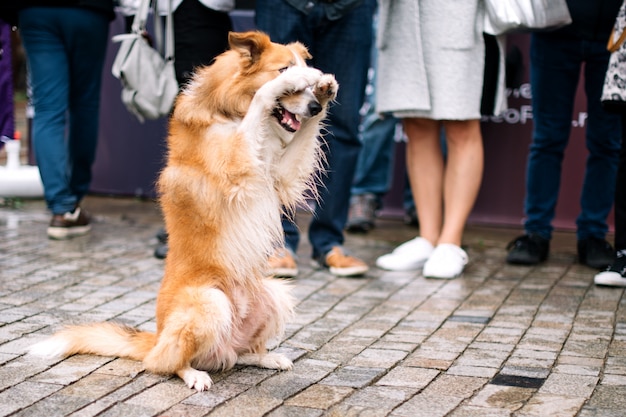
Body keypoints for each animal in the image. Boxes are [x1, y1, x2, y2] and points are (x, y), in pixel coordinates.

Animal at [29, 31, 338, 390]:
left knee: (235, 354)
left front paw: (327, 87)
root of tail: (157, 336)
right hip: (210, 303)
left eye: (313, 92)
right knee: (165, 362)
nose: (315, 105)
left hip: (274, 291)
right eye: (283, 69)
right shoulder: (237, 165)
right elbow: (262, 97)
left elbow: (300, 141)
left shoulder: (279, 176)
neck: (226, 109)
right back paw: (193, 374)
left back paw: (265, 357)